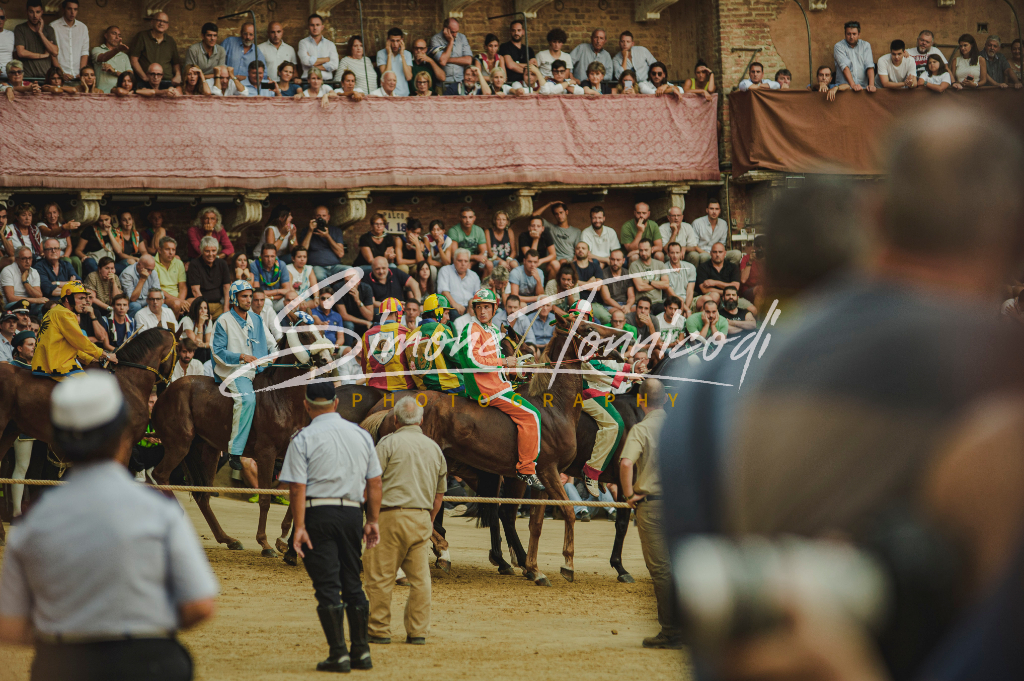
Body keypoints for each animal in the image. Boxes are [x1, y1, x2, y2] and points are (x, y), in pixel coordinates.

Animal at [149, 327, 333, 557]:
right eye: (305, 335)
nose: (327, 358)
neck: (282, 397)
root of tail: (165, 392)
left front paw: (282, 540)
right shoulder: (266, 454)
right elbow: (265, 498)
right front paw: (265, 543)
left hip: (206, 450)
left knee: (203, 495)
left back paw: (228, 539)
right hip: (179, 445)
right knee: (160, 475)